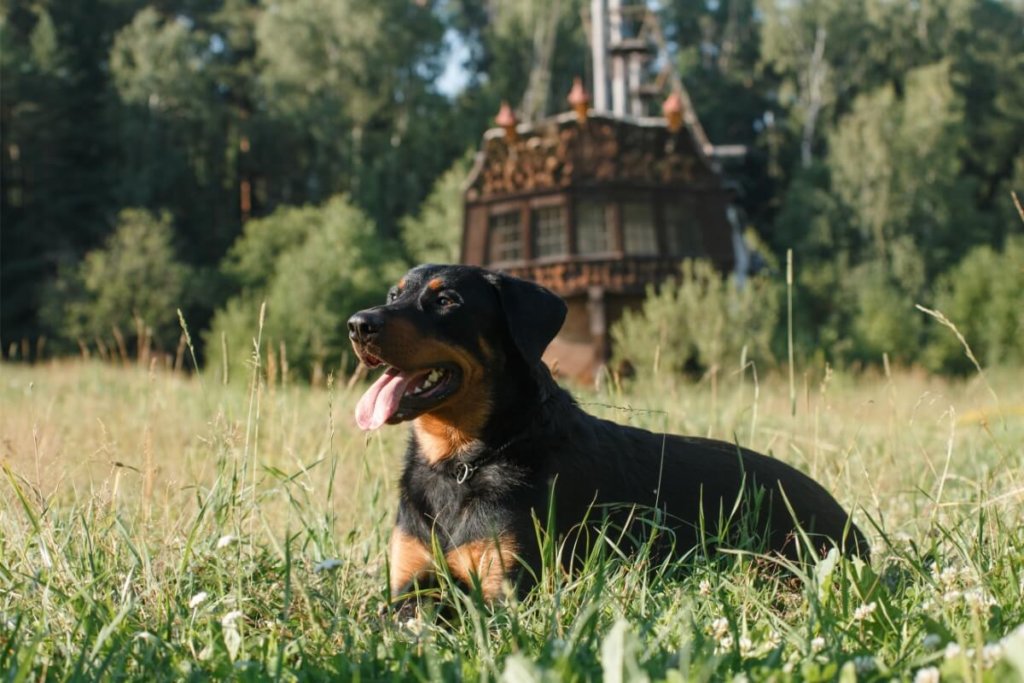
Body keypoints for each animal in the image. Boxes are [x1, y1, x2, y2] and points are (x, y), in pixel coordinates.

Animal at [348, 264, 868, 606]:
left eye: (446, 300)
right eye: (393, 295)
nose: (358, 324)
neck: (460, 463)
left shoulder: (508, 591)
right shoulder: (407, 586)